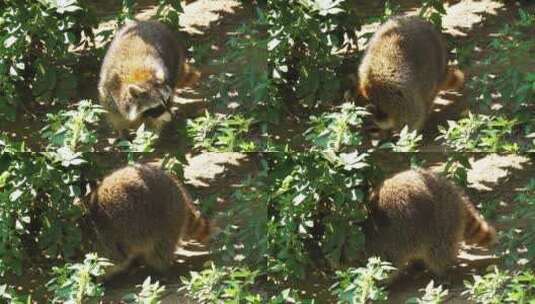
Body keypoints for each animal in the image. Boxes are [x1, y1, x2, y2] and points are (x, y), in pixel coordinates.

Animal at [82, 163, 213, 280]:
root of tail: (180, 193)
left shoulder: (108, 236)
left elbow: (114, 260)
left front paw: (95, 274)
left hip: (167, 220)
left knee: (159, 250)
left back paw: (159, 268)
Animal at [364, 170, 498, 276]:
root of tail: (454, 192)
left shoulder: (389, 243)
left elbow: (387, 266)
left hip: (442, 221)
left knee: (438, 251)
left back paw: (442, 271)